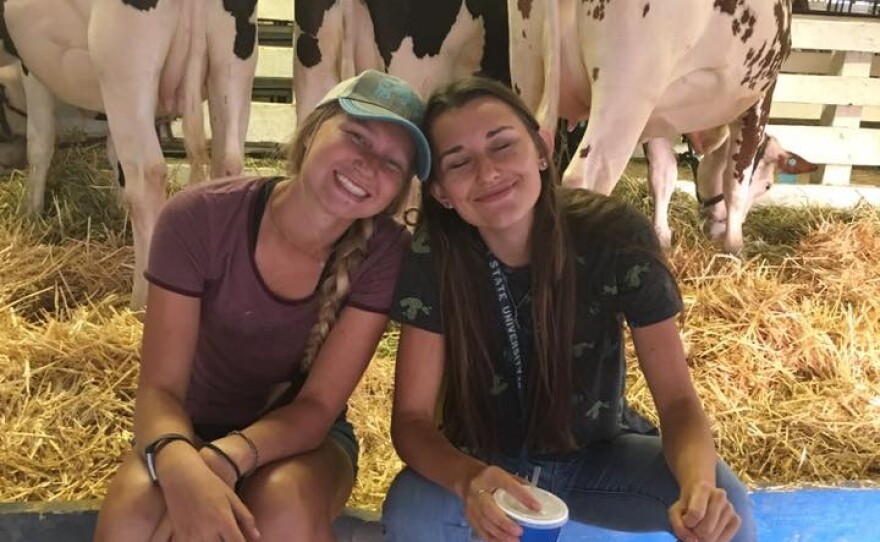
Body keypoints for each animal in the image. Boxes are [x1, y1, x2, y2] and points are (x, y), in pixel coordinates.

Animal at [0, 0, 258, 308]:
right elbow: (115, 156)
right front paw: (117, 205)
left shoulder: (32, 68)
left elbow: (40, 142)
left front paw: (31, 212)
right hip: (234, 61)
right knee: (228, 162)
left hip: (126, 69)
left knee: (148, 178)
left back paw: (141, 300)